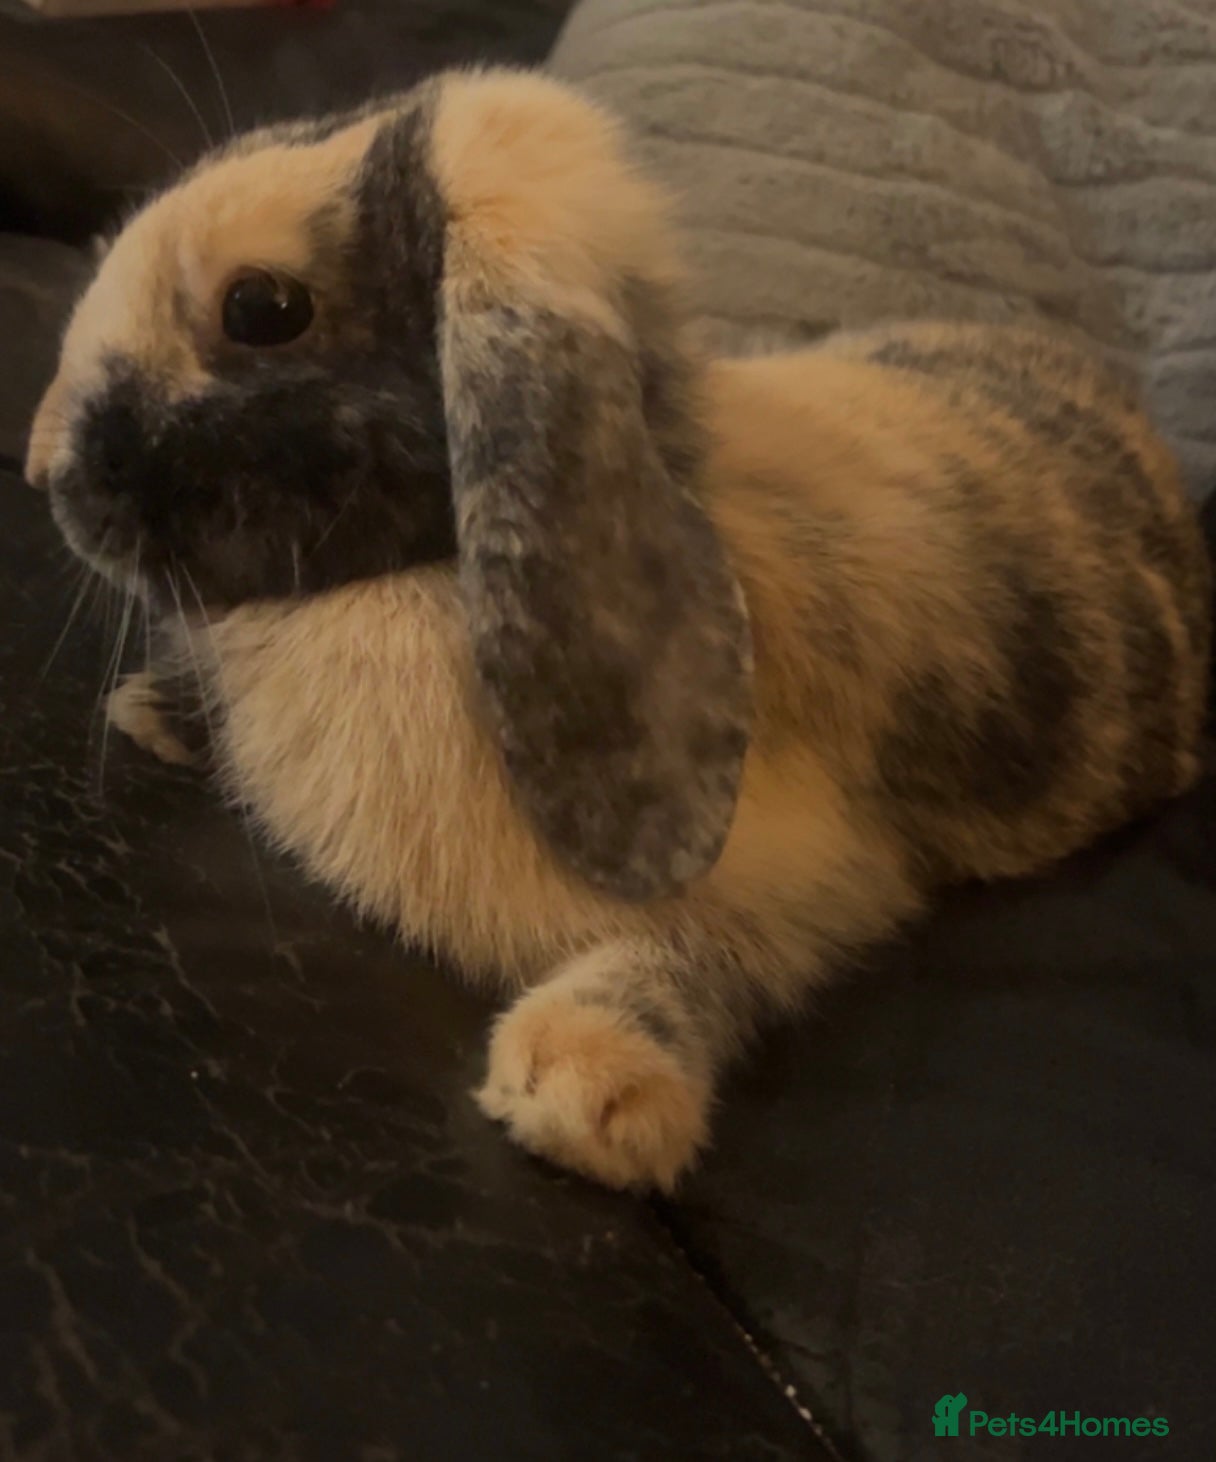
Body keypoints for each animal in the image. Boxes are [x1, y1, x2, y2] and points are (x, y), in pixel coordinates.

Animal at [26, 68, 1212, 1192]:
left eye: (264, 307)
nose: (39, 466)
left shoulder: (820, 883)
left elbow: (697, 957)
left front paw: (583, 1091)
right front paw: (155, 710)